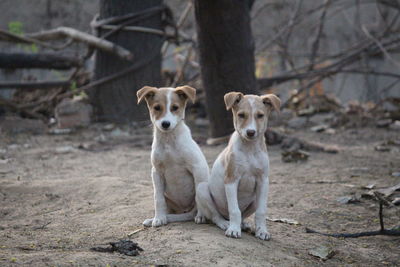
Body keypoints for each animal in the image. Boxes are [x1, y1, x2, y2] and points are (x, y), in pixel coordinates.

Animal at [137, 86, 208, 228]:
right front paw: (158, 218)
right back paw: (157, 218)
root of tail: (185, 210)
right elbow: (158, 198)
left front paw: (201, 215)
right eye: (157, 107)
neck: (168, 140)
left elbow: (199, 195)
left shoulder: (197, 167)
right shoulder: (156, 172)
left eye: (175, 107)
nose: (165, 124)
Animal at [195, 92, 280, 241]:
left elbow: (261, 212)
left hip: (254, 199)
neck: (249, 149)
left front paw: (262, 231)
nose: (250, 132)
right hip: (202, 189)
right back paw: (225, 224)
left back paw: (244, 224)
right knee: (215, 216)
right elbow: (234, 210)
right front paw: (233, 230)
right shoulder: (231, 180)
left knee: (244, 215)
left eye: (260, 115)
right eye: (241, 115)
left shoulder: (263, 181)